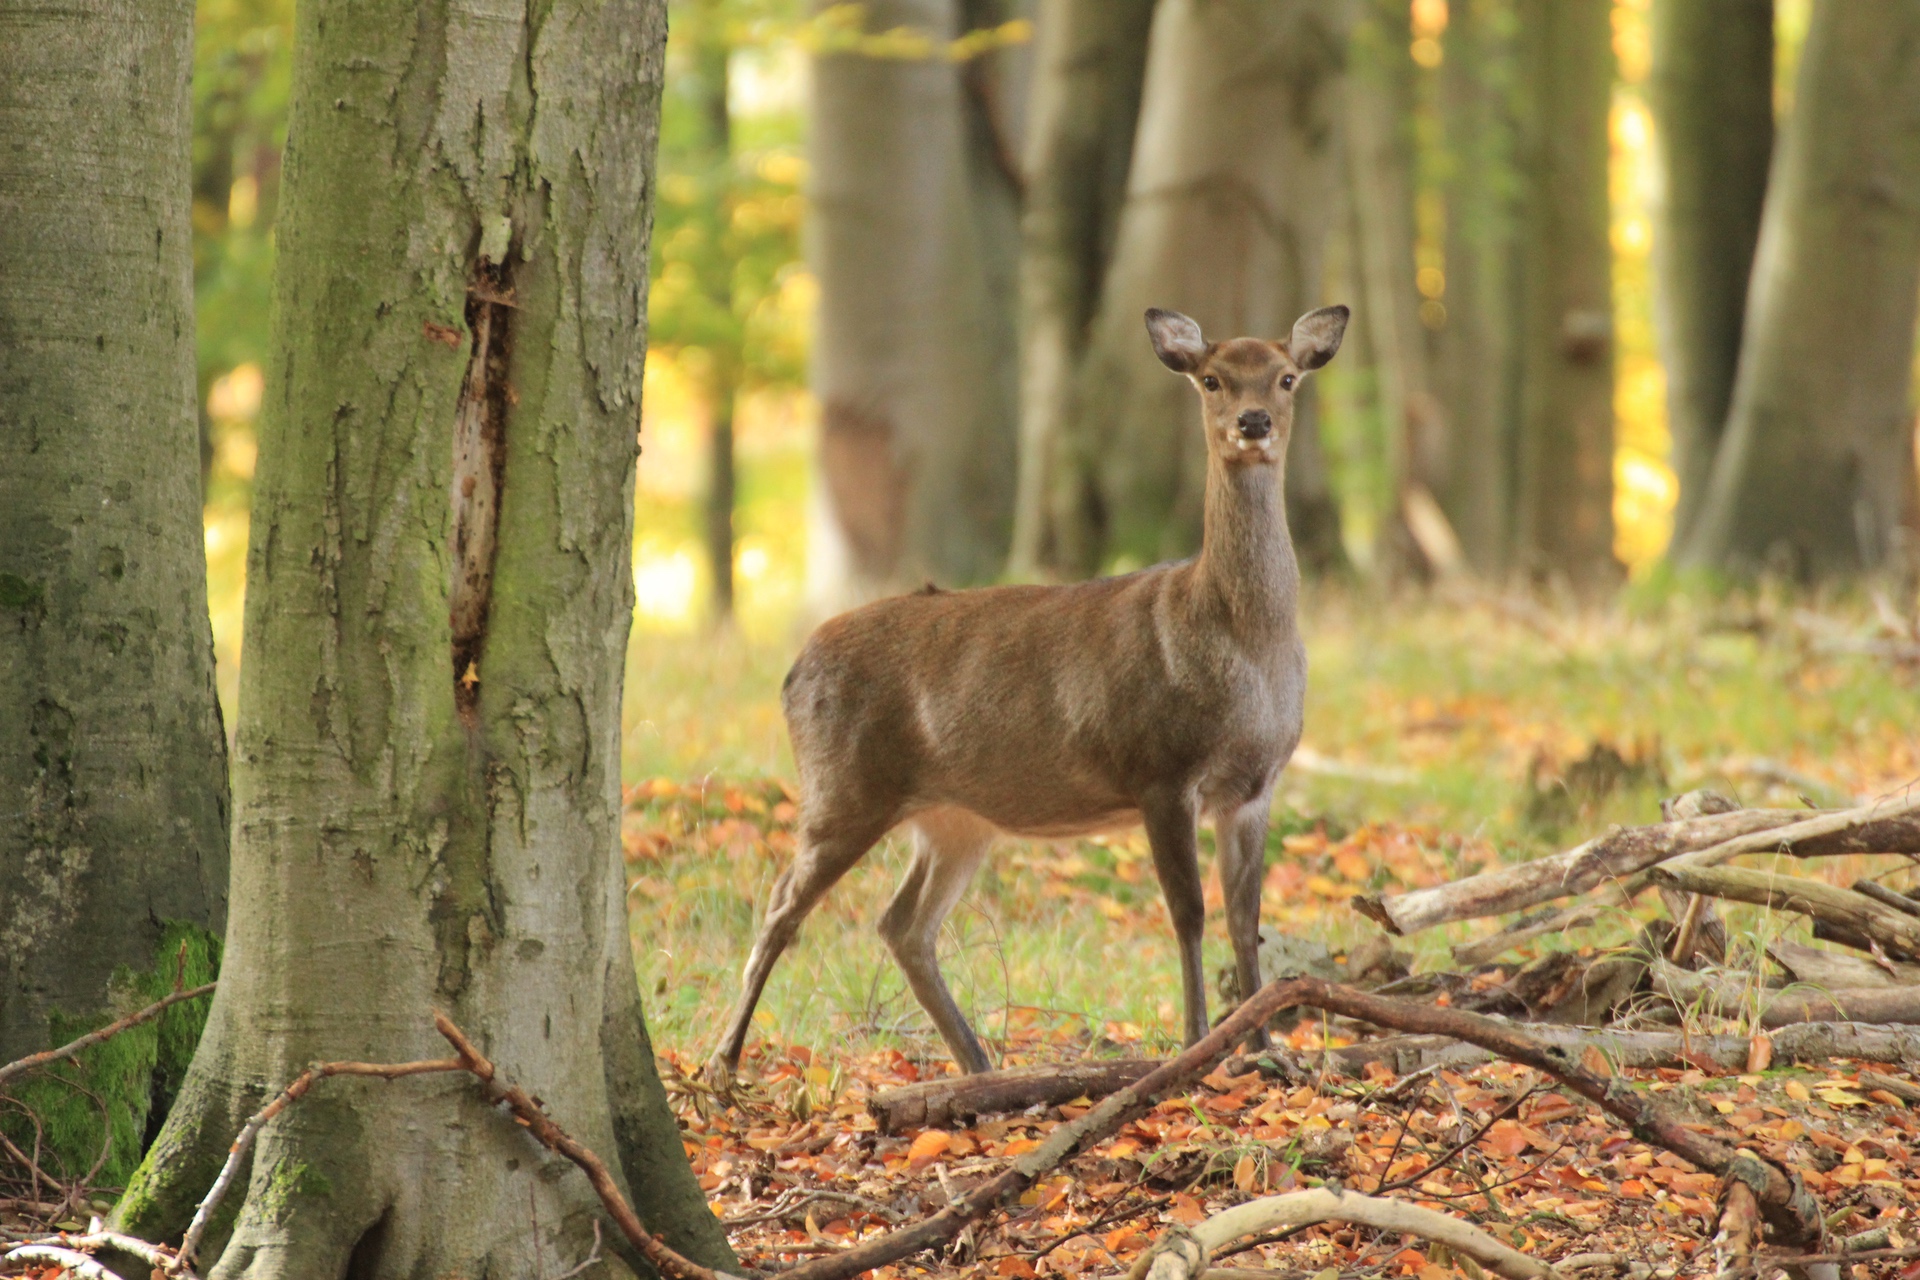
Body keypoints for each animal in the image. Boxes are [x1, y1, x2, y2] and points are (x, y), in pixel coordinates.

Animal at [708, 304, 1349, 1087]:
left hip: (957, 816)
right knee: (782, 907)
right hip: (842, 786)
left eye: (1286, 377)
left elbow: (1244, 917)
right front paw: (1198, 1042)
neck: (1243, 646)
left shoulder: (1255, 786)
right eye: (1212, 378)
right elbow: (1188, 912)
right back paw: (723, 1062)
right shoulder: (1160, 769)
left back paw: (978, 1064)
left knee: (902, 923)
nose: (1253, 422)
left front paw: (1262, 1045)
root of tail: (793, 670)